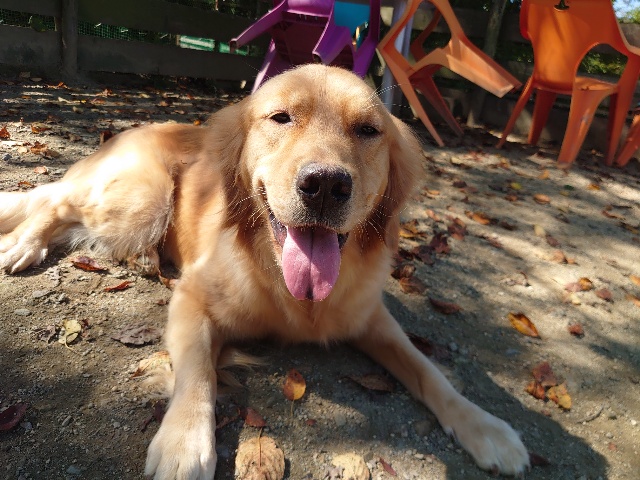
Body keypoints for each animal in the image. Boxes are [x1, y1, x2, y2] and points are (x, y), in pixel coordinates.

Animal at [0, 64, 529, 478]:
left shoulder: (372, 318)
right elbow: (197, 372)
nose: (325, 185)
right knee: (55, 204)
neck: (291, 292)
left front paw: (486, 427)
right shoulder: (192, 297)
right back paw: (24, 245)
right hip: (141, 200)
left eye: (367, 130)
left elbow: (427, 369)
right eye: (281, 118)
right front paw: (184, 443)